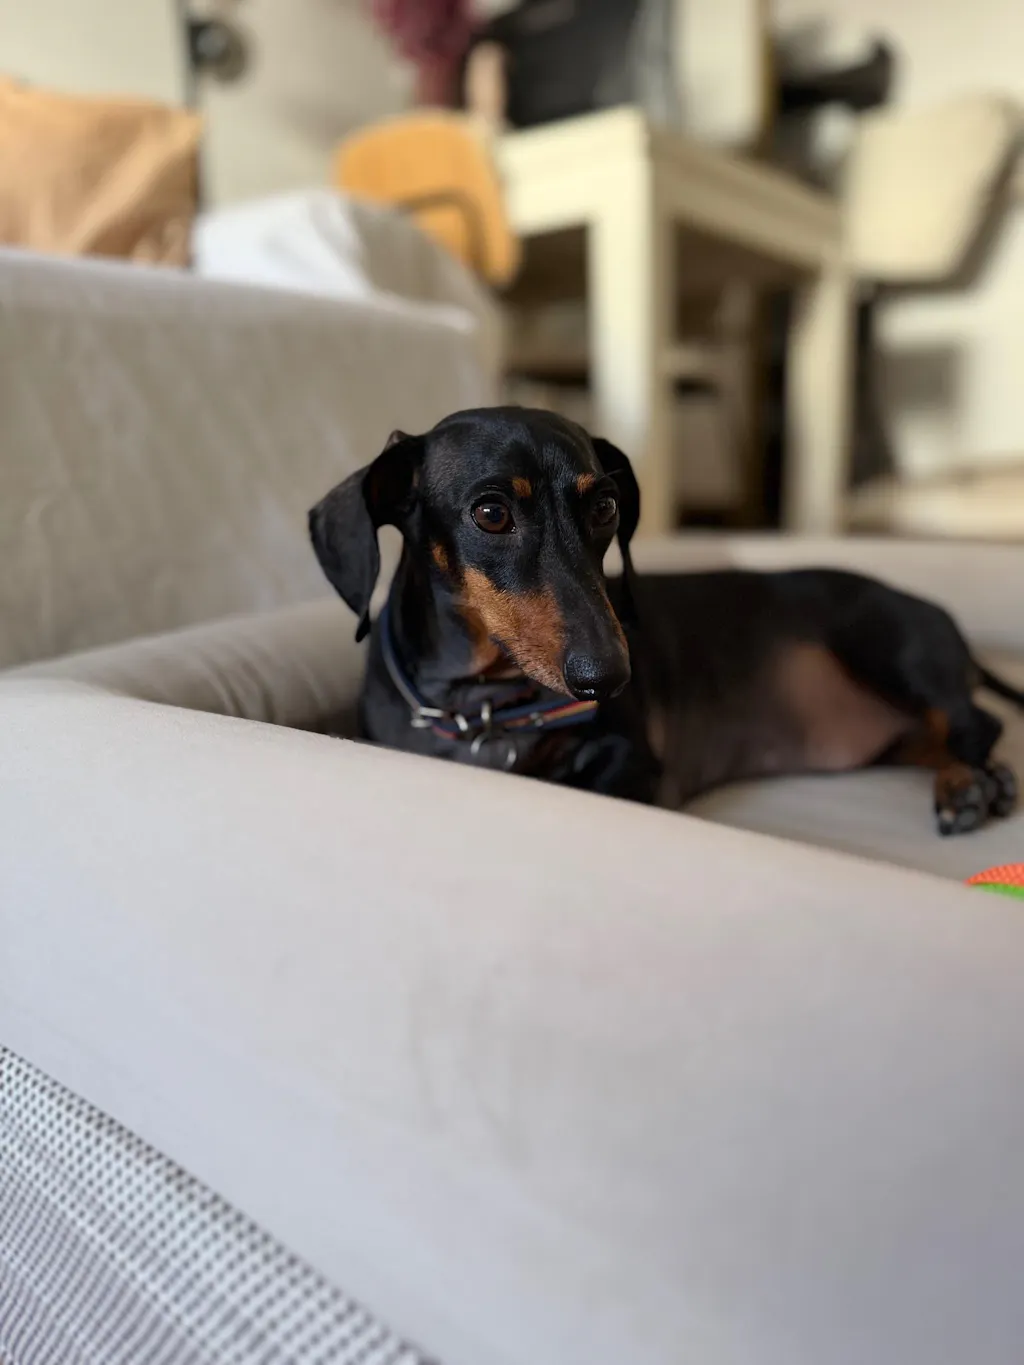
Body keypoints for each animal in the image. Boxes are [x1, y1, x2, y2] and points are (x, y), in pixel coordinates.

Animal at [309, 406, 1023, 835]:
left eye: (604, 507)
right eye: (490, 514)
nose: (610, 677)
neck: (483, 707)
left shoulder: (632, 761)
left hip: (886, 648)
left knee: (974, 724)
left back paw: (969, 783)